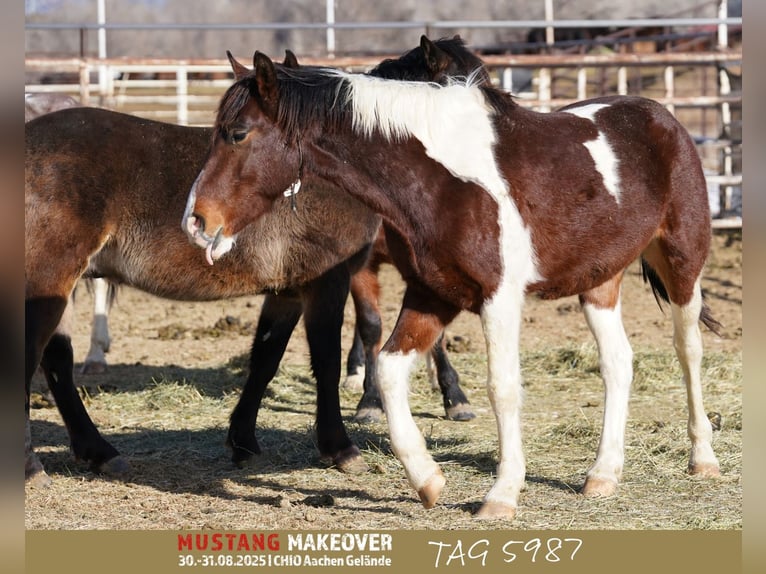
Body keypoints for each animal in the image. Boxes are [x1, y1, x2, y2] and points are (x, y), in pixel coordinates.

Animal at [27, 36, 484, 486]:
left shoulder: (288, 291)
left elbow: (265, 359)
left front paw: (243, 441)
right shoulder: (328, 281)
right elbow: (326, 361)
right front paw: (339, 447)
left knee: (57, 362)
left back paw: (99, 452)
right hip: (50, 280)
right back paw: (34, 466)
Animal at [183, 44, 724, 520]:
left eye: (237, 133)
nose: (196, 220)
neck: (444, 181)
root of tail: (660, 116)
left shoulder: (499, 299)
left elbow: (502, 387)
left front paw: (502, 495)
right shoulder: (432, 293)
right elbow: (389, 370)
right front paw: (427, 480)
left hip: (682, 264)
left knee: (689, 350)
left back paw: (702, 459)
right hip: (600, 281)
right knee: (617, 363)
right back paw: (603, 474)